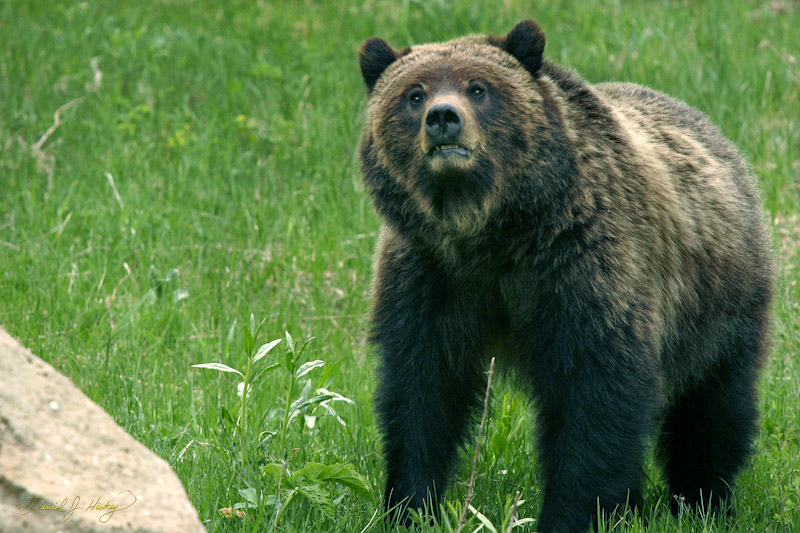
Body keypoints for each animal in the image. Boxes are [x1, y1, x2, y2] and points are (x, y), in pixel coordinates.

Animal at [357, 20, 774, 532]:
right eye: (414, 94)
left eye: (479, 88)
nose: (442, 118)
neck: (490, 234)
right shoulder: (429, 275)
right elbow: (421, 393)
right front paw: (410, 505)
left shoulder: (580, 268)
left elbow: (595, 398)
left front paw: (572, 512)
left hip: (716, 301)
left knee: (713, 407)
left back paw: (702, 500)